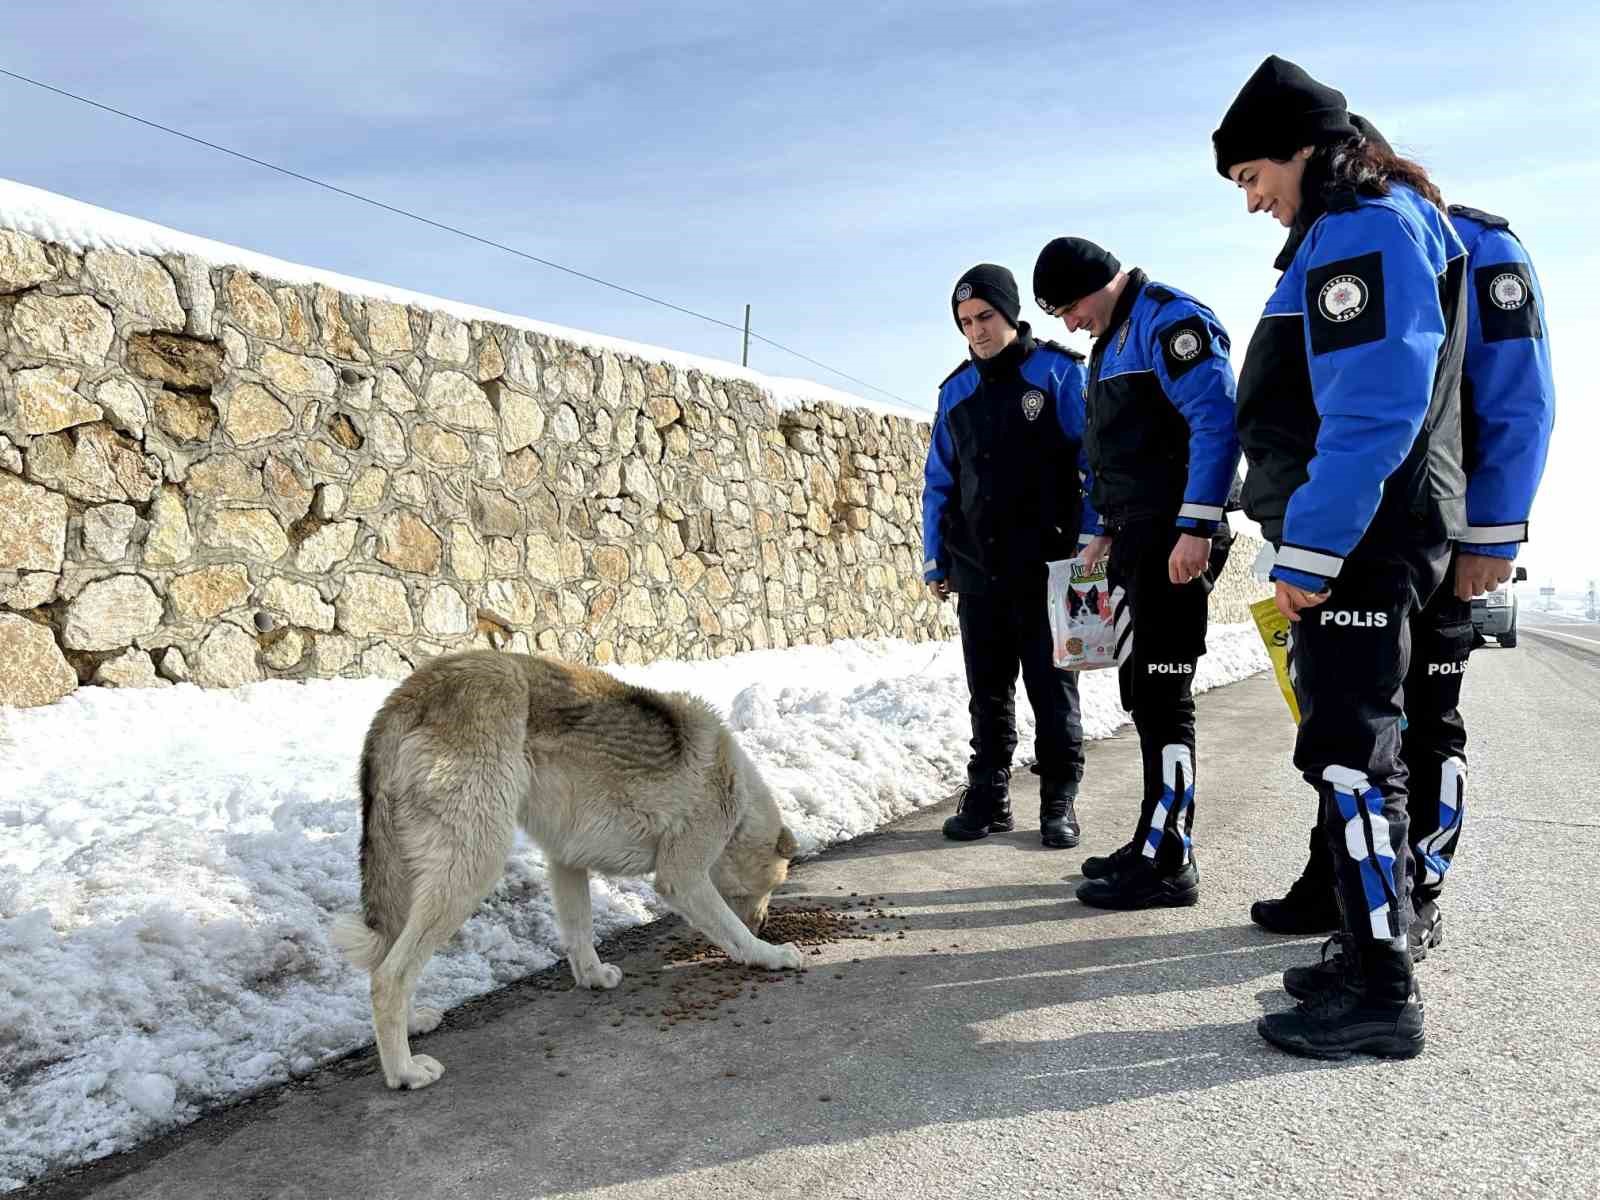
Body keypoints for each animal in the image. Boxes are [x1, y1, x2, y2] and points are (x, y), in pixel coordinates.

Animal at [328, 652, 800, 1094]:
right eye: (770, 888)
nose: (764, 923)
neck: (738, 805)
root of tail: (411, 692)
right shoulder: (682, 879)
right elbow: (731, 933)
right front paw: (768, 954)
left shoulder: (567, 861)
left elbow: (579, 932)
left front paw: (592, 978)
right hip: (471, 868)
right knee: (389, 978)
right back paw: (404, 1071)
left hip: (418, 880)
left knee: (385, 962)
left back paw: (411, 1026)